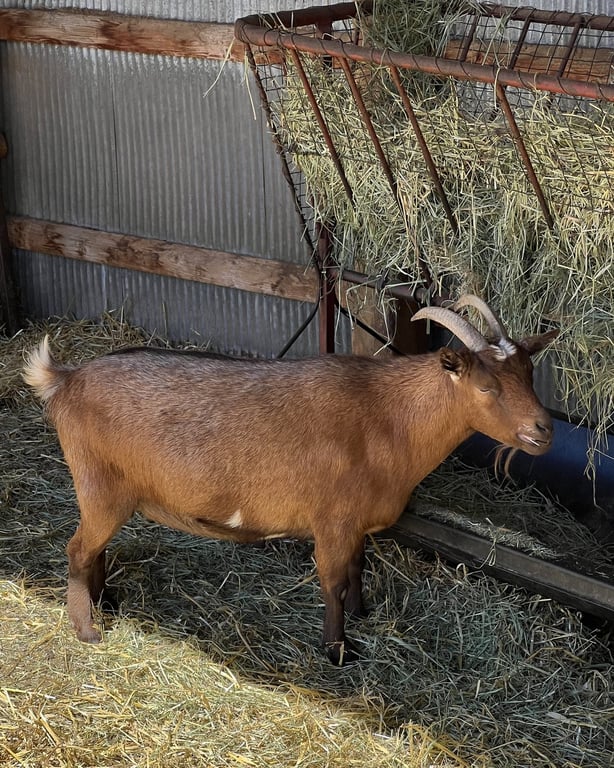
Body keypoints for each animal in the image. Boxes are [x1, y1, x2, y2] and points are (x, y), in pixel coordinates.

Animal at [23, 297, 557, 665]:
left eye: (530, 375)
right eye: (486, 386)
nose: (543, 431)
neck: (389, 418)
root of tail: (65, 379)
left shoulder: (355, 522)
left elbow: (359, 567)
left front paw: (362, 613)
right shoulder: (333, 520)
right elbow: (333, 581)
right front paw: (338, 649)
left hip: (110, 493)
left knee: (95, 548)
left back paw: (107, 600)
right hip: (98, 485)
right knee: (78, 549)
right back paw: (87, 630)